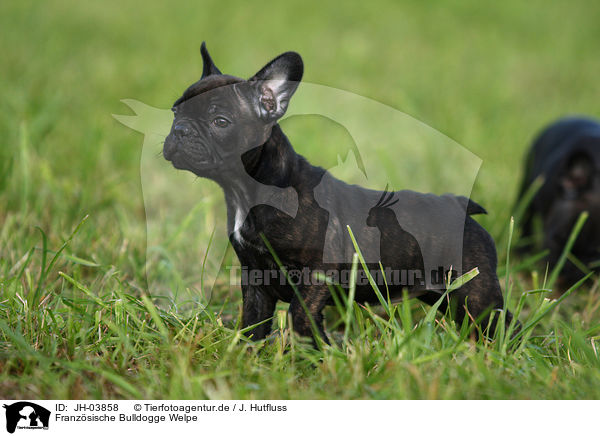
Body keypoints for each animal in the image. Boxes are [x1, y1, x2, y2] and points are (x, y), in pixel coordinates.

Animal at [165, 44, 516, 344]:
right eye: (175, 112)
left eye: (220, 121)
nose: (179, 131)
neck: (247, 190)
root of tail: (461, 206)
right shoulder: (255, 278)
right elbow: (254, 322)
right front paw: (250, 353)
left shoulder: (318, 270)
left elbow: (300, 314)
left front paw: (316, 350)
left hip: (476, 293)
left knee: (502, 321)